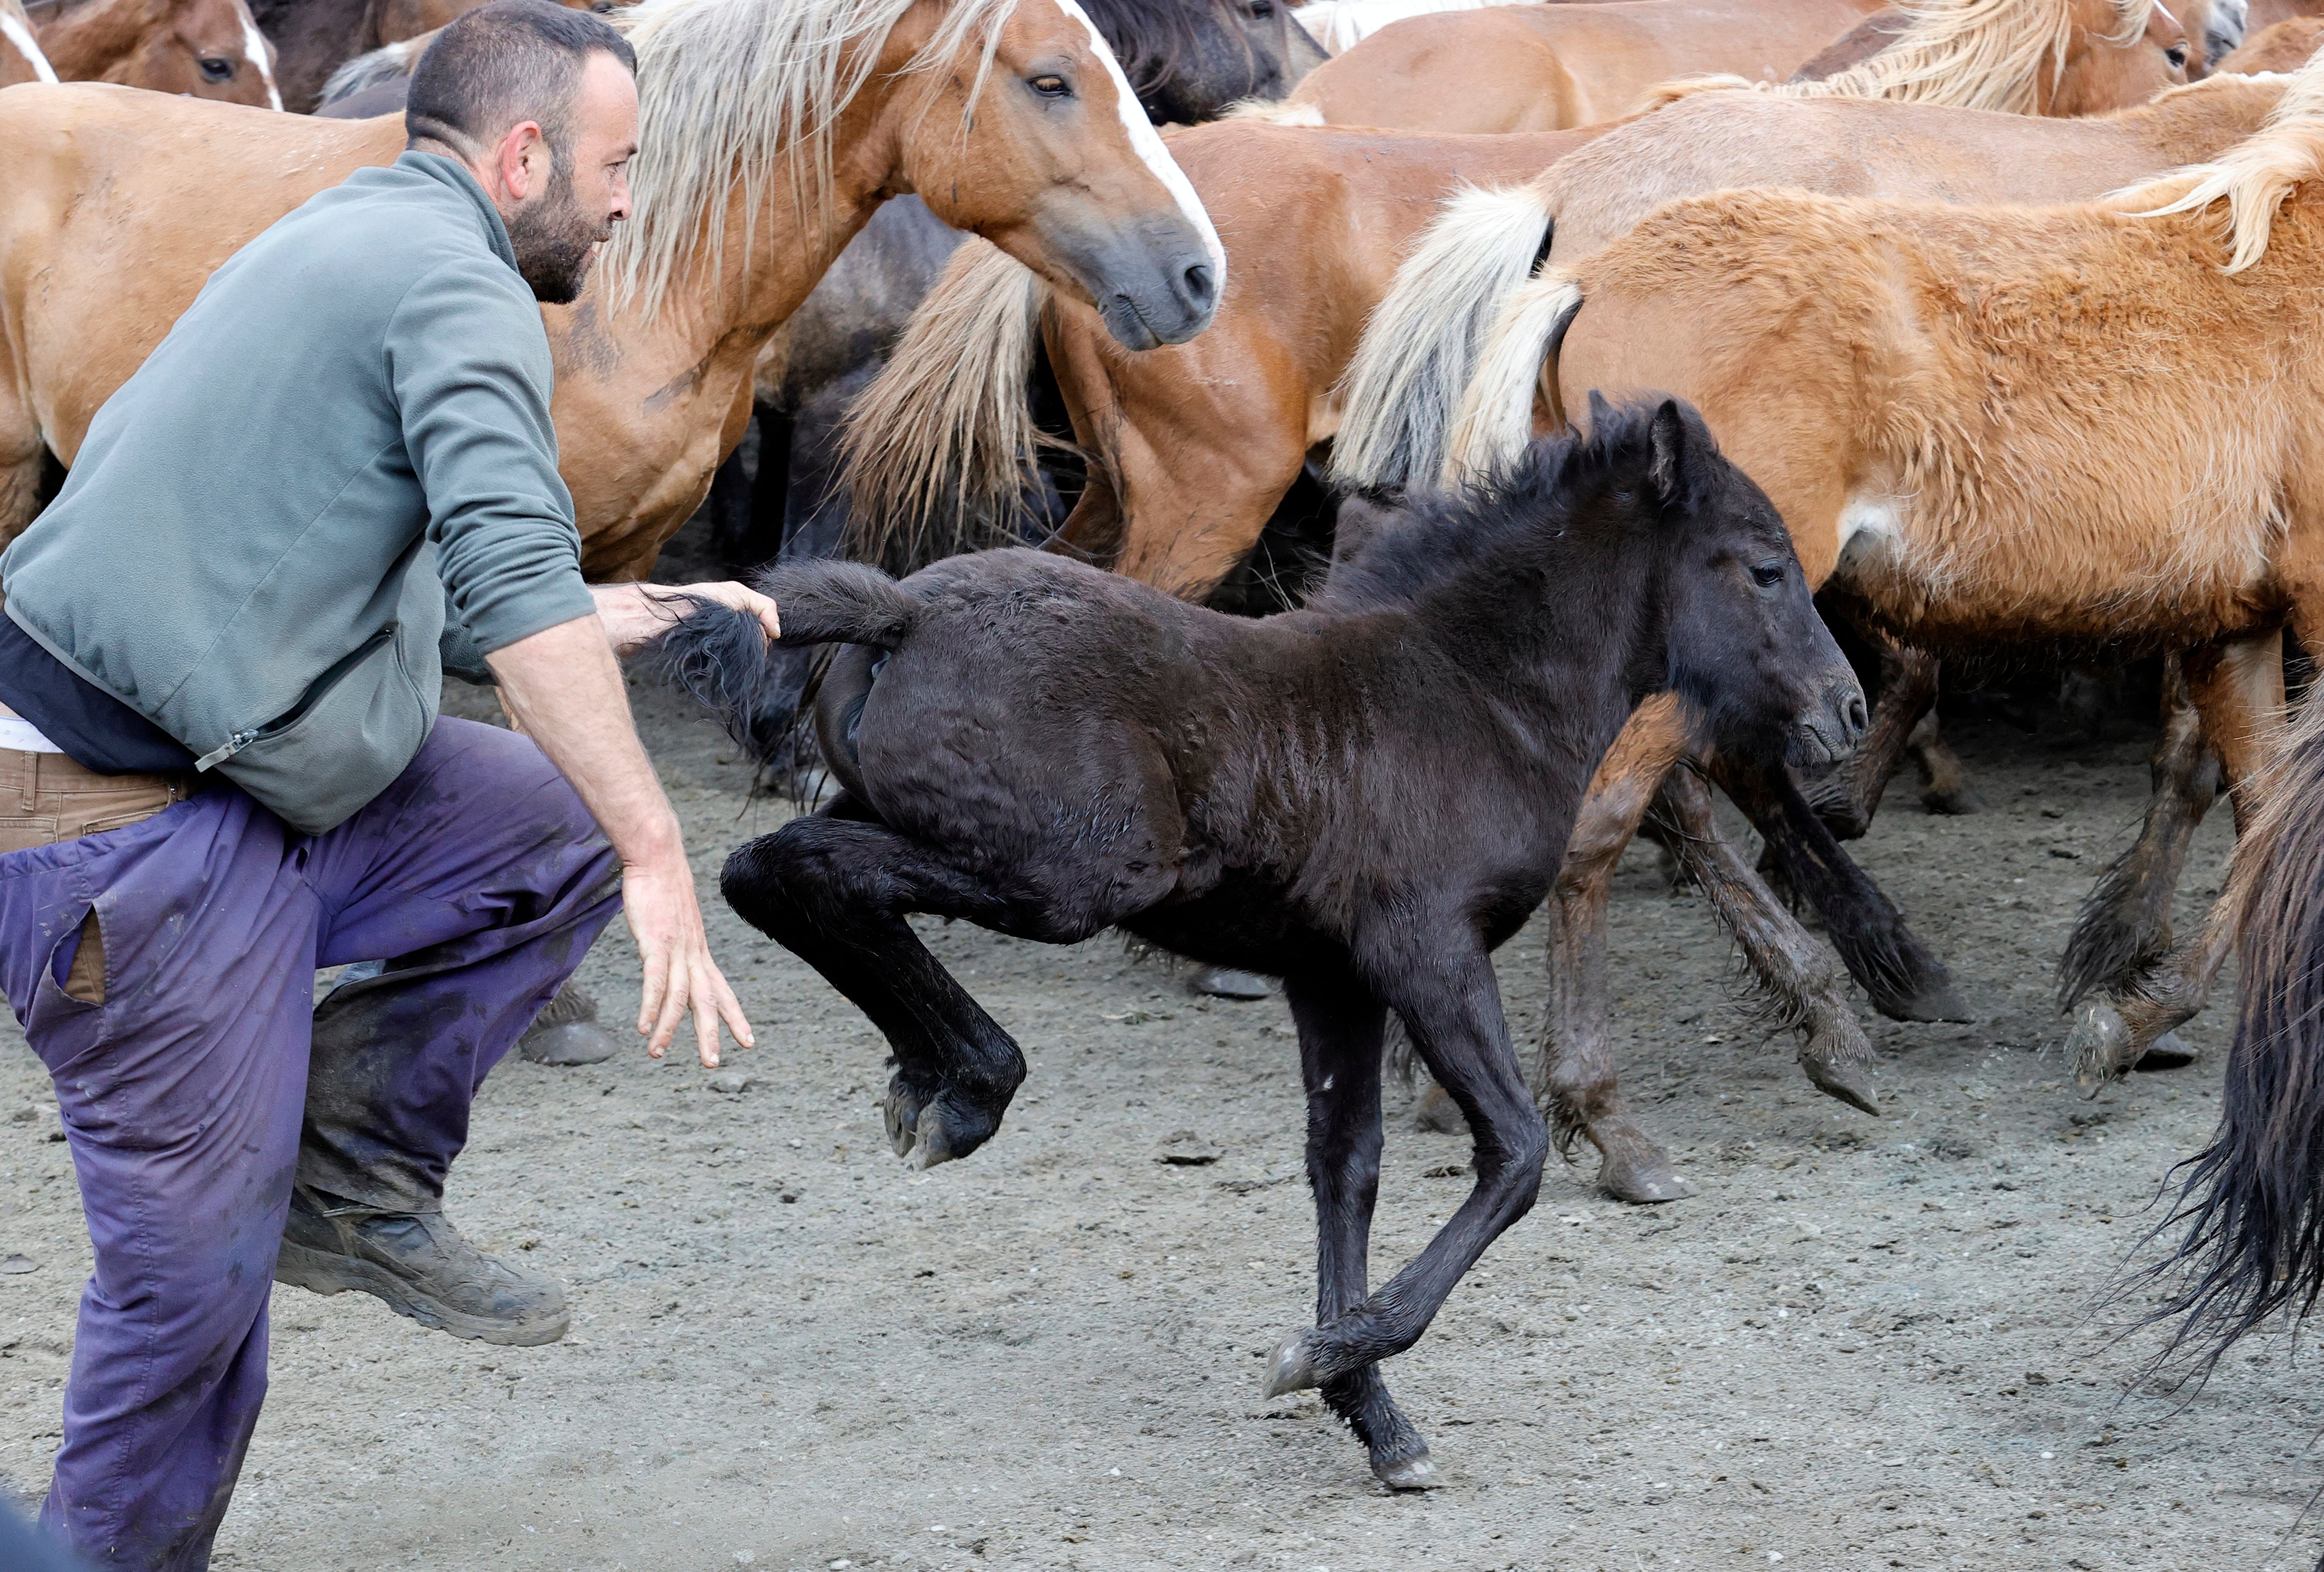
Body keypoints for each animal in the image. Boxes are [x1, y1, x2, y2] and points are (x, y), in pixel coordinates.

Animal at [655, 400, 1868, 1488]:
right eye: (1763, 568)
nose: (1848, 711)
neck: (1475, 694)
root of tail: (902, 609)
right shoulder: (1426, 949)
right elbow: (1515, 1153)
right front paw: (1325, 1354)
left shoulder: (1333, 978)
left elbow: (1346, 1169)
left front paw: (1375, 1416)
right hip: (1069, 876)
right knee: (807, 869)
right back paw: (968, 1086)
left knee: (767, 868)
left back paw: (925, 1077)